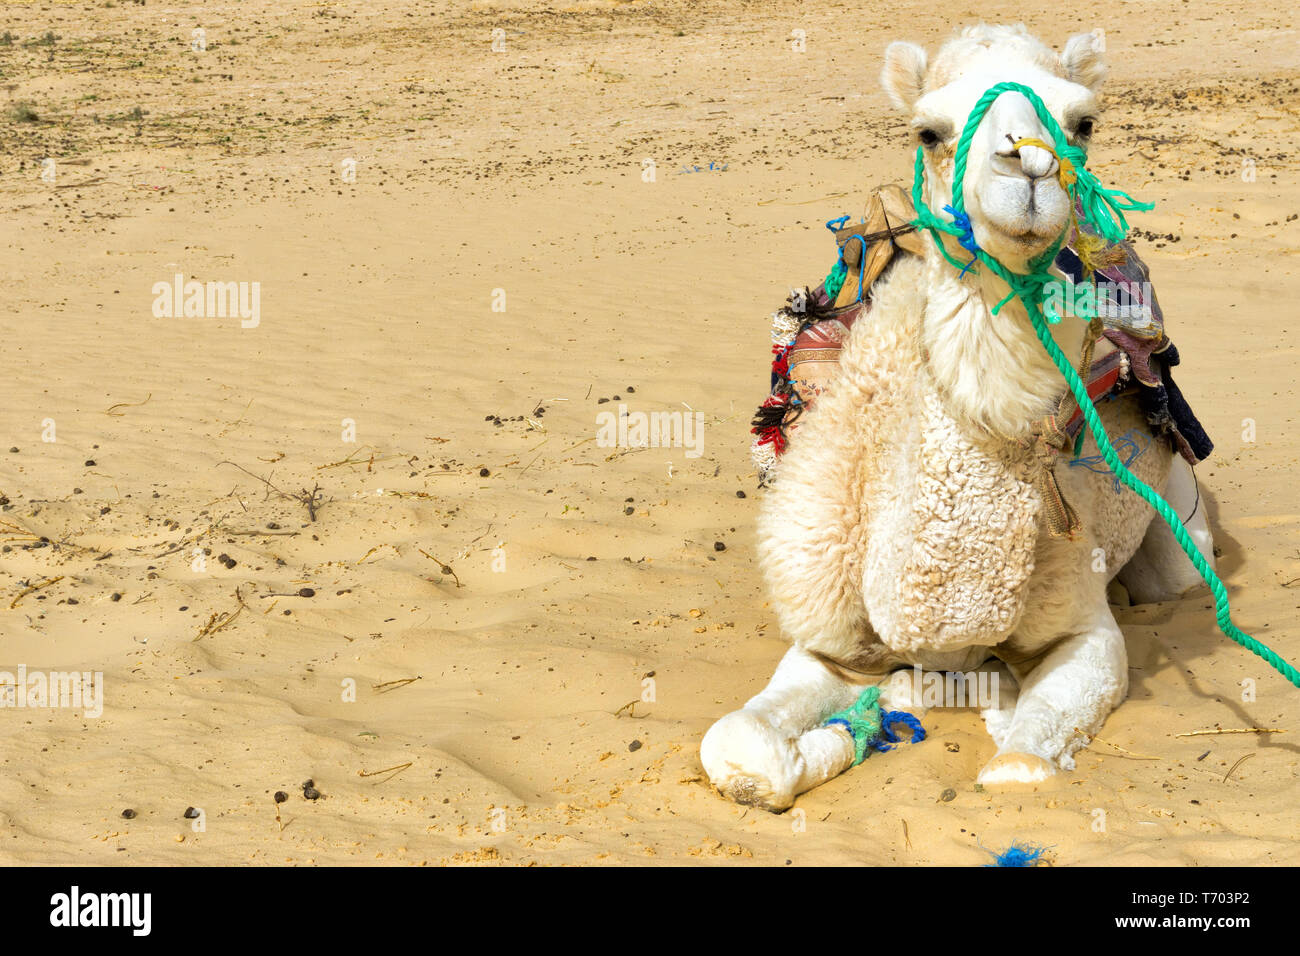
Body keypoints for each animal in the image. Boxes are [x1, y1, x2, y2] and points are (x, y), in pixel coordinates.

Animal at [702, 24, 1216, 806]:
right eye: (929, 132)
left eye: (1083, 124)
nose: (1029, 167)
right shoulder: (829, 636)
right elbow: (739, 745)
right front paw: (849, 730)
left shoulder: (1084, 628)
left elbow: (1018, 769)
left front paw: (972, 704)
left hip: (1176, 513)